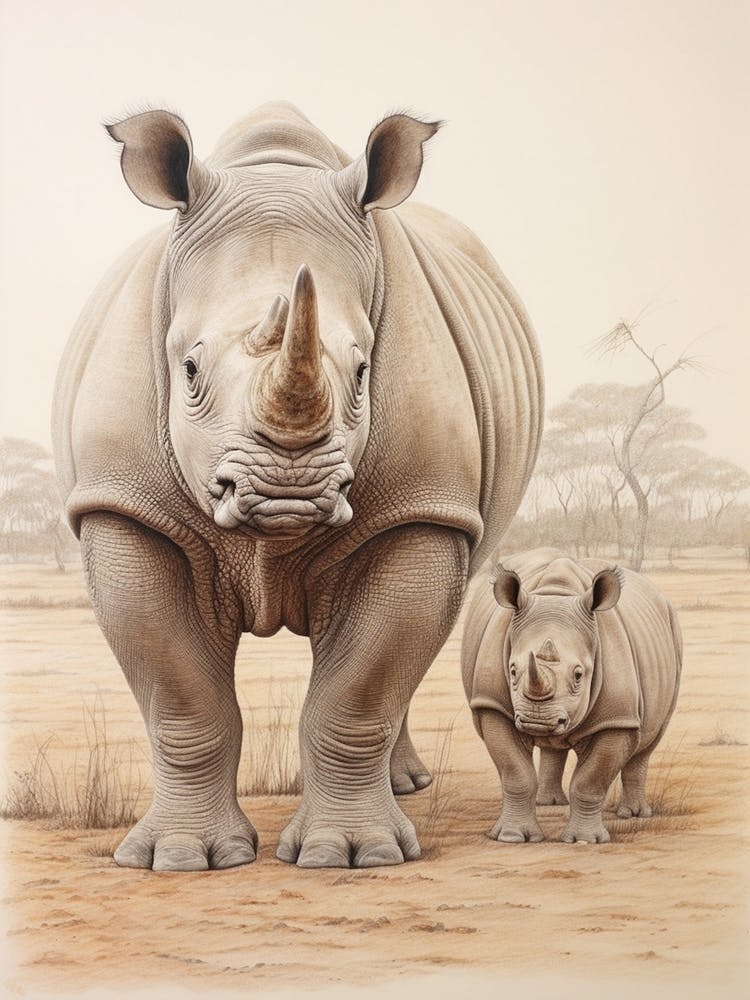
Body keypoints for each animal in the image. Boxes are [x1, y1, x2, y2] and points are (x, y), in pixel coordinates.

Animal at [52, 102, 543, 871]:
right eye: (188, 370)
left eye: (365, 370)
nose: (289, 491)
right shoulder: (124, 504)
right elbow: (180, 694)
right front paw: (181, 859)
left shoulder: (423, 506)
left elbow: (362, 686)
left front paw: (351, 855)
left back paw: (404, 790)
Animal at [462, 548, 682, 843]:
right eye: (513, 670)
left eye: (579, 675)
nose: (538, 720)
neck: (558, 595)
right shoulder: (493, 704)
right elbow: (515, 773)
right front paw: (512, 837)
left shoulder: (617, 718)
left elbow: (590, 780)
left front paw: (584, 841)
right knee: (552, 746)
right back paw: (549, 803)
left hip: (672, 632)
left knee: (647, 742)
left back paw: (633, 815)